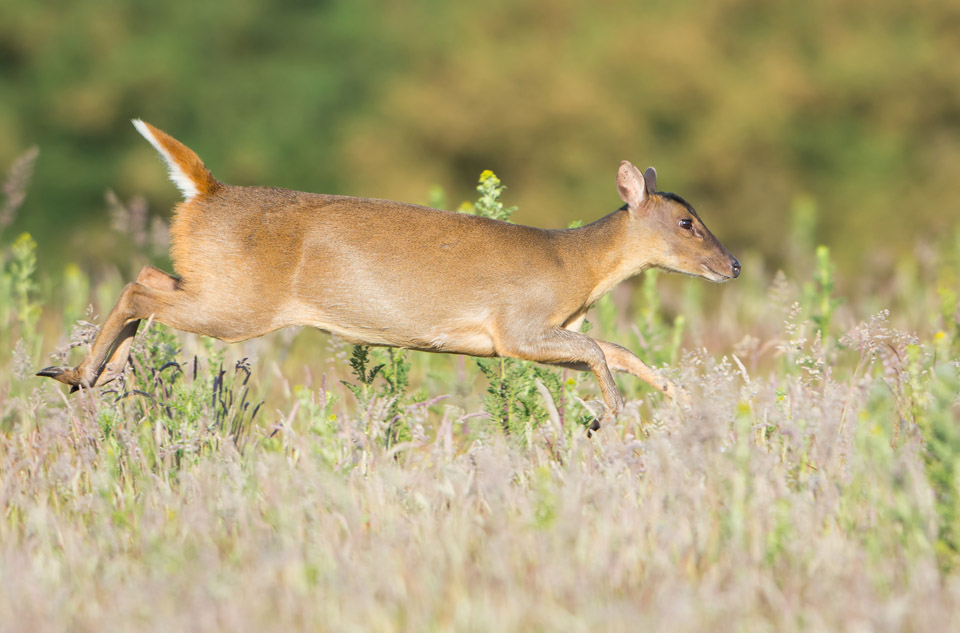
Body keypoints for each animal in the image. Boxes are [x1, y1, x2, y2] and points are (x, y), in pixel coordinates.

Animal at [37, 119, 740, 424]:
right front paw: (611, 417)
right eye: (687, 223)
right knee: (139, 286)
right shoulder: (515, 327)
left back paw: (94, 374)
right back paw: (80, 373)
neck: (577, 267)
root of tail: (206, 192)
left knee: (149, 280)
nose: (731, 264)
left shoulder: (534, 335)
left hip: (218, 287)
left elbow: (617, 349)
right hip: (241, 301)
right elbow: (600, 350)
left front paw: (688, 400)